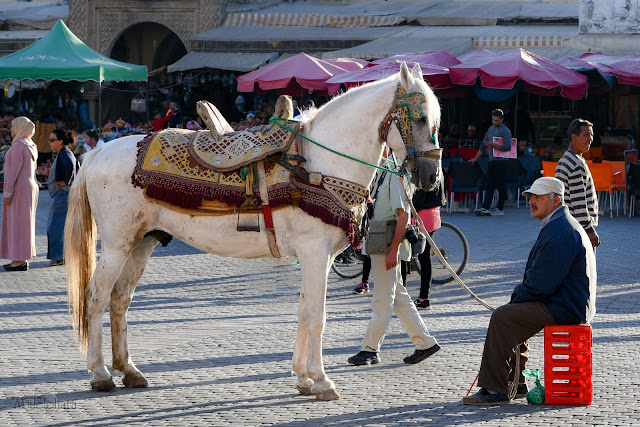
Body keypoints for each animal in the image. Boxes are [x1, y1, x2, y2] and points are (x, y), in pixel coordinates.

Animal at [67, 62, 442, 402]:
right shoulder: (315, 252)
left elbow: (303, 312)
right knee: (96, 297)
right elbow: (316, 316)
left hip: (142, 242)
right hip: (117, 244)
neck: (319, 164)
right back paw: (100, 374)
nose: (431, 178)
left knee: (120, 299)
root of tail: (98, 150)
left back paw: (128, 370)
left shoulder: (315, 259)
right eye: (420, 119)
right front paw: (321, 381)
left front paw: (303, 379)